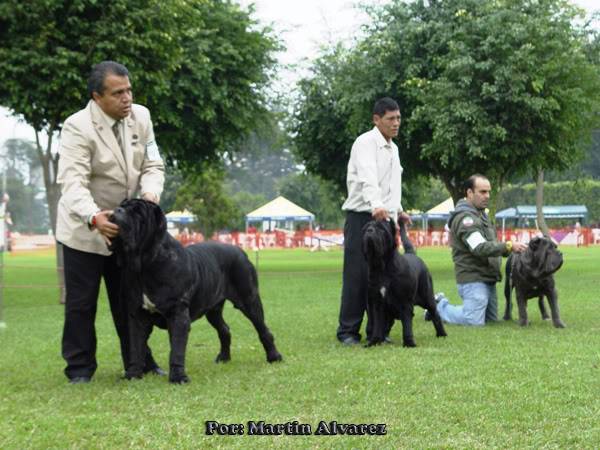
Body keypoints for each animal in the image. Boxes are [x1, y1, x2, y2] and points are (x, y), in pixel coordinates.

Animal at [110, 200, 284, 384]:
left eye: (138, 212)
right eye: (122, 205)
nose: (117, 210)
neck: (145, 264)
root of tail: (240, 251)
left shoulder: (178, 315)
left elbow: (176, 350)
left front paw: (178, 377)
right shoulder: (137, 316)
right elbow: (136, 347)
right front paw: (132, 374)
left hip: (249, 300)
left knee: (263, 329)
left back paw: (274, 357)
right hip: (213, 310)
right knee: (224, 329)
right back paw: (224, 358)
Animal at [360, 219, 446, 348]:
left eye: (381, 229)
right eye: (366, 228)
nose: (370, 231)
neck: (382, 267)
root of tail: (413, 254)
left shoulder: (405, 302)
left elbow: (407, 323)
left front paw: (409, 343)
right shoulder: (377, 303)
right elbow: (377, 324)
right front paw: (374, 341)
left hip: (427, 297)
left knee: (435, 313)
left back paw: (442, 334)